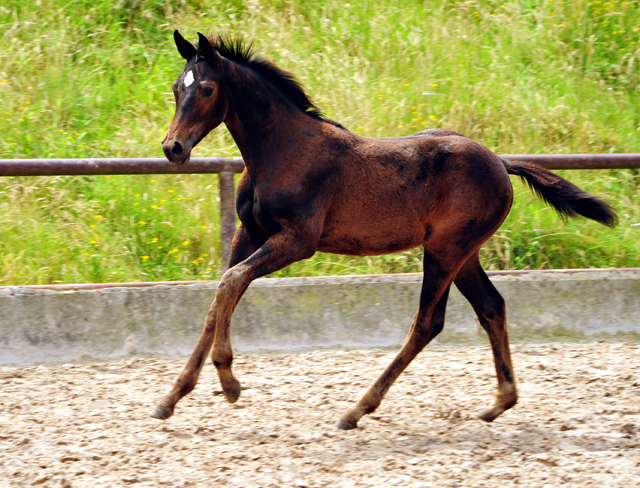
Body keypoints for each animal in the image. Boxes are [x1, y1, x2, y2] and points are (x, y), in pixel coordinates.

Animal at [151, 30, 616, 428]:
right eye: (175, 88)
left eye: (207, 89)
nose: (173, 148)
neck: (282, 151)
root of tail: (501, 163)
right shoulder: (248, 233)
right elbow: (220, 296)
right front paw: (172, 397)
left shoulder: (298, 240)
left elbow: (230, 283)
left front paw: (229, 380)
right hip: (463, 253)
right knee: (491, 307)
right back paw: (499, 403)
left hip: (445, 250)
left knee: (428, 322)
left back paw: (357, 409)